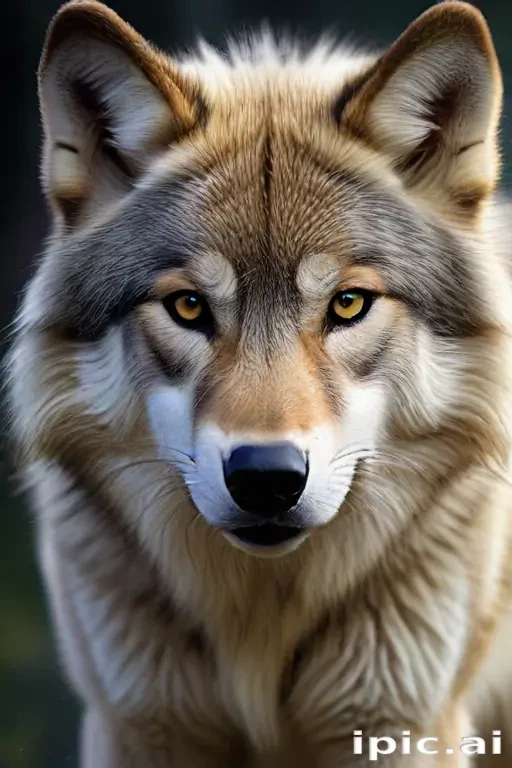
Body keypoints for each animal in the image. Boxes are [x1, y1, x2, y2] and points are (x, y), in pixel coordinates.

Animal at [7, 0, 512, 765]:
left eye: (348, 304)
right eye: (189, 307)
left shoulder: (399, 724)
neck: (261, 628)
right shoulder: (140, 724)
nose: (267, 477)